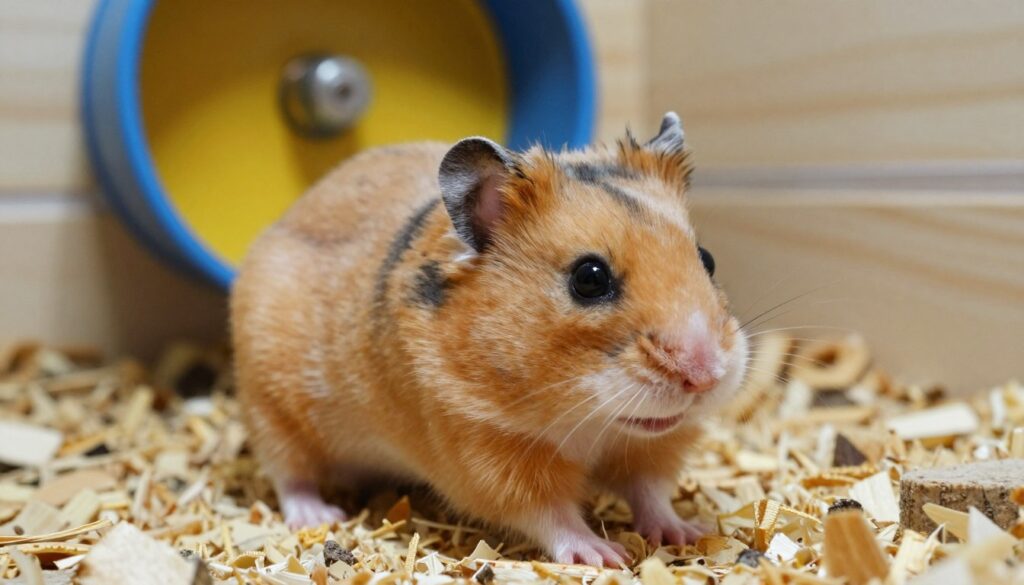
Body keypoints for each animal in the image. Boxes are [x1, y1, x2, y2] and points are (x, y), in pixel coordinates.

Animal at [231, 112, 749, 567]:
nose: (705, 376)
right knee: (289, 474)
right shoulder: (487, 451)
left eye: (707, 258)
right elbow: (551, 514)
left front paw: (687, 533)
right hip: (271, 410)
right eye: (589, 278)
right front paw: (605, 556)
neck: (587, 419)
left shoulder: (653, 448)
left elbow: (651, 492)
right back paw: (318, 516)